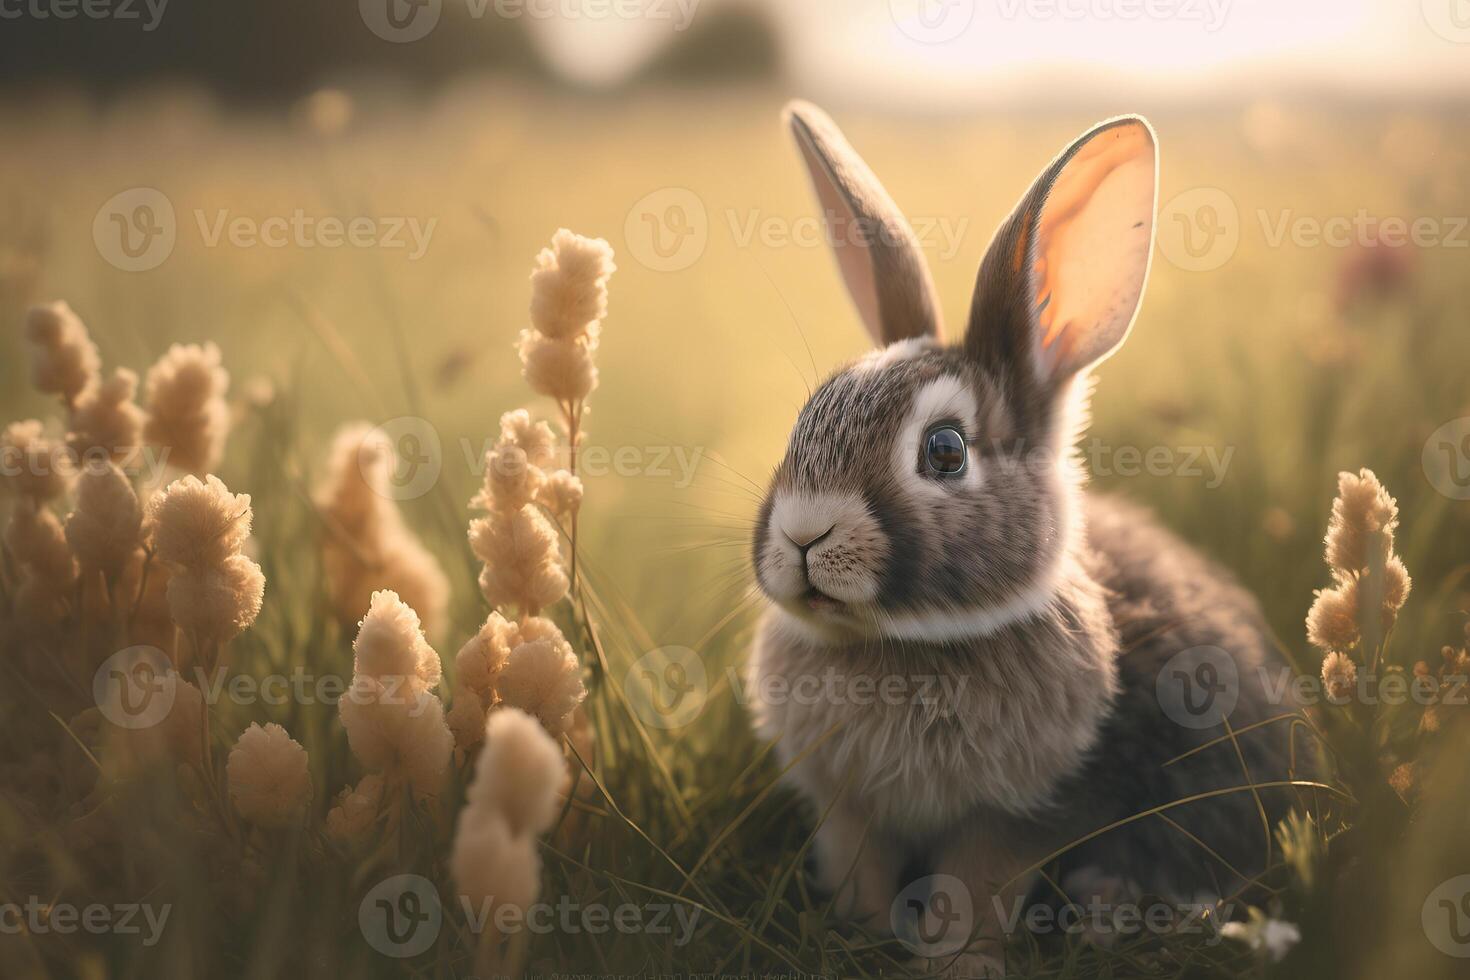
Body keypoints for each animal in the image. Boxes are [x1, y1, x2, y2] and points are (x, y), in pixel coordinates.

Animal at [746, 103, 1311, 975]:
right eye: (802, 420)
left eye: (946, 451)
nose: (805, 534)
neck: (904, 641)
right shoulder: (848, 808)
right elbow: (860, 868)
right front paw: (859, 932)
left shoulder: (1021, 816)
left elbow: (975, 886)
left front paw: (958, 961)